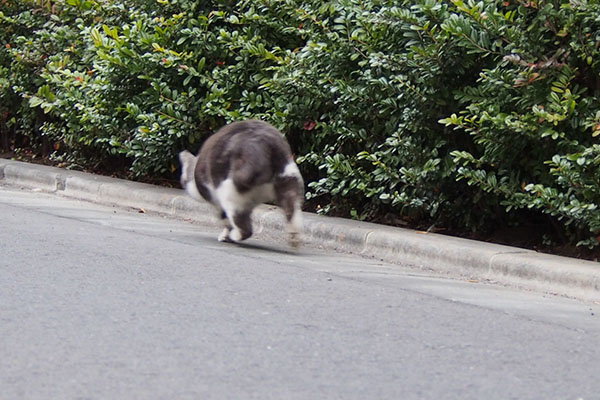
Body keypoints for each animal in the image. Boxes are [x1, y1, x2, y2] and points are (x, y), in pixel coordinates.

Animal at [176, 119, 302, 247]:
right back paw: (294, 237)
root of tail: (262, 141)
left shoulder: (217, 199)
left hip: (231, 193)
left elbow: (225, 219)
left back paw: (236, 236)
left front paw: (226, 236)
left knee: (243, 226)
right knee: (291, 208)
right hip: (288, 180)